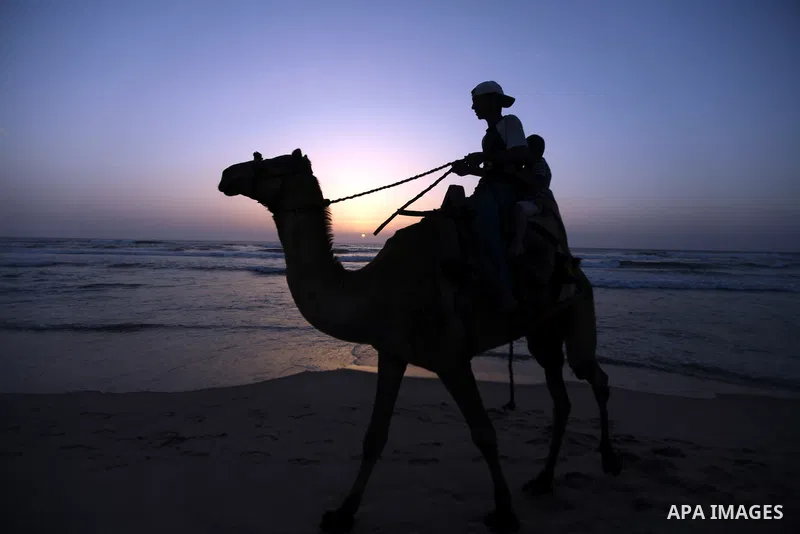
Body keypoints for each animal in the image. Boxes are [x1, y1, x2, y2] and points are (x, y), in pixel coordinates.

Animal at [217, 149, 622, 533]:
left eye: (268, 165)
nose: (226, 175)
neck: (374, 290)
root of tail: (571, 262)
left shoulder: (452, 359)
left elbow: (484, 433)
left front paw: (505, 513)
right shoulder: (392, 353)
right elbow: (375, 435)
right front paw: (343, 513)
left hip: (576, 310)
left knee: (594, 375)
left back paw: (607, 459)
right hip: (543, 333)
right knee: (561, 397)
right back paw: (543, 480)